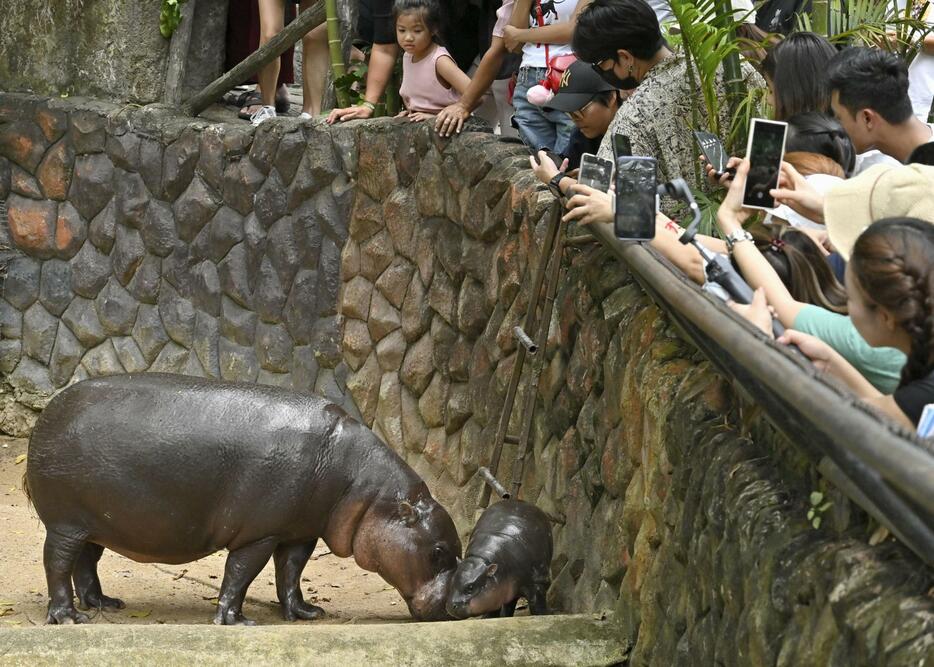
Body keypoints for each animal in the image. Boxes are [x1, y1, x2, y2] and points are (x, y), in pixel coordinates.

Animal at [27, 374, 466, 624]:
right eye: (439, 551)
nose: (452, 607)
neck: (363, 487)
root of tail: (47, 412)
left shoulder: (300, 531)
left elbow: (290, 573)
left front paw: (306, 613)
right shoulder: (261, 532)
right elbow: (240, 573)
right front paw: (235, 621)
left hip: (99, 522)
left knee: (87, 562)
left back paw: (103, 604)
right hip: (64, 524)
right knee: (57, 564)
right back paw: (69, 618)